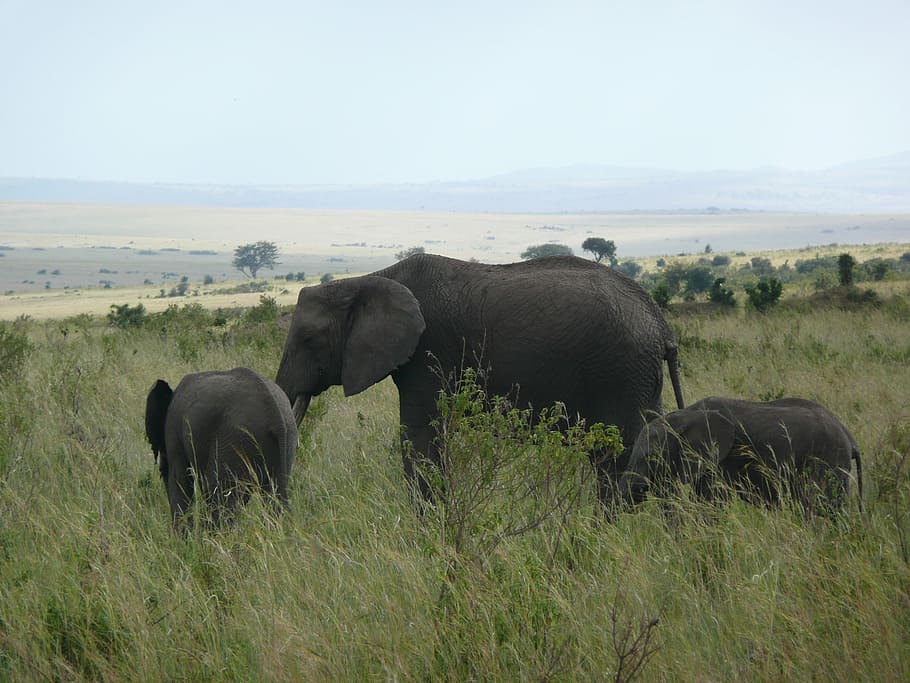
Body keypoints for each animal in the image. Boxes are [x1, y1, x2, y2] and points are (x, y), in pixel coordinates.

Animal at [144, 367, 297, 527]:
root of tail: (276, 419)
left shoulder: (174, 428)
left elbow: (180, 480)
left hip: (235, 440)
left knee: (219, 498)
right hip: (287, 440)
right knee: (276, 497)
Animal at [275, 253, 685, 504]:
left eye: (308, 339)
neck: (369, 279)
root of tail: (661, 323)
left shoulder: (430, 352)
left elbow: (419, 438)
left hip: (621, 372)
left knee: (619, 460)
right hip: (639, 378)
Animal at [618, 396, 863, 513]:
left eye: (650, 457)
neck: (684, 416)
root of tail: (850, 438)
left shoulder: (722, 457)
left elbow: (712, 501)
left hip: (827, 459)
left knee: (817, 505)